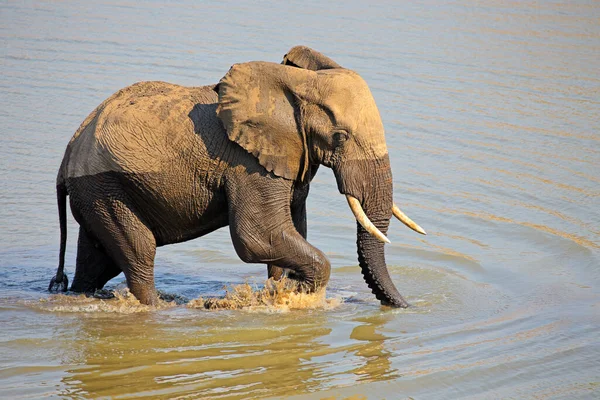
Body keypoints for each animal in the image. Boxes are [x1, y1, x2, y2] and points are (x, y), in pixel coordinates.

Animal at [50, 46, 426, 306]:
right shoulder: (248, 165)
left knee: (96, 262)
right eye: (340, 137)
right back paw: (158, 307)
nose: (406, 307)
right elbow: (258, 237)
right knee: (139, 252)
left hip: (98, 192)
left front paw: (282, 291)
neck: (296, 83)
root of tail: (67, 156)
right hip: (106, 188)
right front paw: (298, 294)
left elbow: (291, 230)